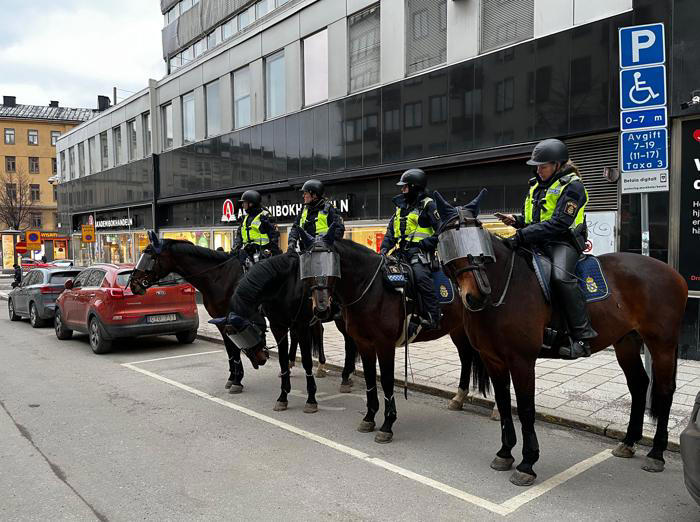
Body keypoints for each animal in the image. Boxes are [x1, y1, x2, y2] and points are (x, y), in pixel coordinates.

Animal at [298, 226, 490, 438]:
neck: (371, 287)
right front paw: (369, 418)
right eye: (307, 266)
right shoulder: (364, 343)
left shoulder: (385, 345)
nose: (321, 309)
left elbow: (387, 381)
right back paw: (459, 398)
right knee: (466, 358)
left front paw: (387, 424)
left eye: (330, 264)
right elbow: (370, 379)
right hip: (458, 330)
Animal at [434, 190, 688, 484]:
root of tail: (673, 273)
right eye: (448, 240)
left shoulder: (522, 361)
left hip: (662, 344)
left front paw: (527, 463)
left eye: (477, 236)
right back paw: (628, 442)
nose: (477, 295)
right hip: (626, 341)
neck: (504, 285)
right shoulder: (492, 360)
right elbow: (504, 404)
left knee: (664, 390)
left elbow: (526, 408)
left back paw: (656, 453)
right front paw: (505, 453)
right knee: (638, 385)